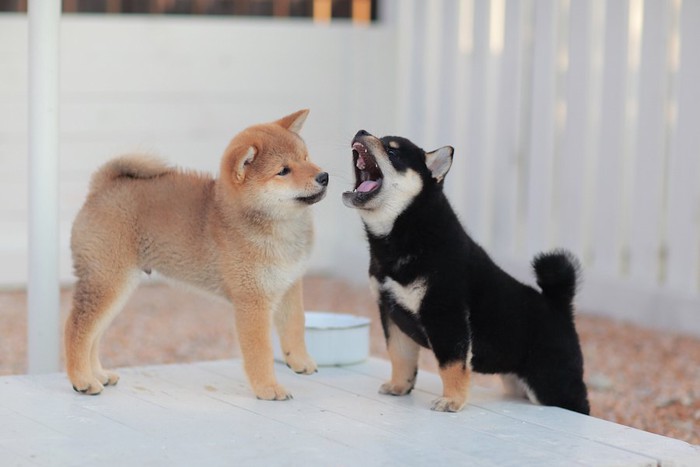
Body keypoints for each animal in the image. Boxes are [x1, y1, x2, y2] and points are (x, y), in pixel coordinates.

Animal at [65, 110, 328, 402]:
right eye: (283, 170)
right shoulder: (253, 300)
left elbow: (295, 325)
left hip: (118, 286)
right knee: (77, 328)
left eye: (306, 157)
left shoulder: (289, 285)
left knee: (93, 334)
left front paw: (300, 361)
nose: (324, 176)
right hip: (107, 280)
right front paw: (268, 387)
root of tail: (101, 188)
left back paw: (98, 374)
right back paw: (82, 380)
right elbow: (260, 351)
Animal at [342, 130, 588, 414]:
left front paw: (453, 400)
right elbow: (399, 356)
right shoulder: (391, 313)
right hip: (518, 383)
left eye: (392, 152)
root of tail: (559, 307)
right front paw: (399, 386)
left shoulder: (445, 314)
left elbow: (451, 365)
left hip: (555, 385)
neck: (405, 235)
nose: (361, 132)